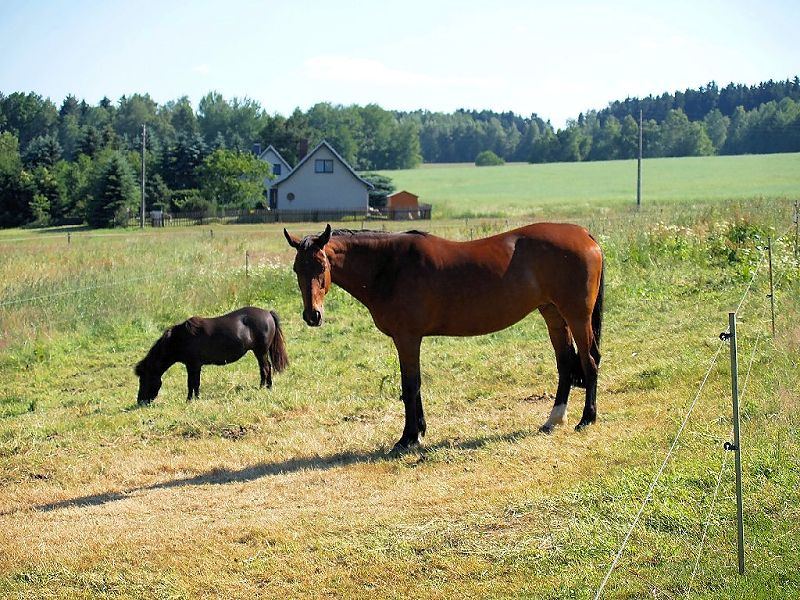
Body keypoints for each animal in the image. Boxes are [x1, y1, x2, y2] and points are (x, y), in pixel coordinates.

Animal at [136, 308, 290, 406]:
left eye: (144, 380)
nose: (140, 401)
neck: (179, 339)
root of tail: (268, 313)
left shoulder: (193, 365)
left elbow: (192, 383)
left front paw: (190, 400)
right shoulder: (194, 366)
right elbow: (194, 383)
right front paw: (194, 398)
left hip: (261, 351)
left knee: (266, 368)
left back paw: (267, 387)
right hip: (259, 352)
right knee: (264, 368)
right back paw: (264, 386)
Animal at [284, 225, 604, 450]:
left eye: (322, 266)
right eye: (297, 268)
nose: (312, 315)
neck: (390, 265)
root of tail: (582, 233)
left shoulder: (407, 338)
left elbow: (410, 386)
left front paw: (408, 438)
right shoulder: (408, 340)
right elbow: (413, 386)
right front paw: (419, 431)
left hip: (577, 316)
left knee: (589, 362)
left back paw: (586, 419)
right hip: (553, 314)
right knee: (565, 365)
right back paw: (554, 419)